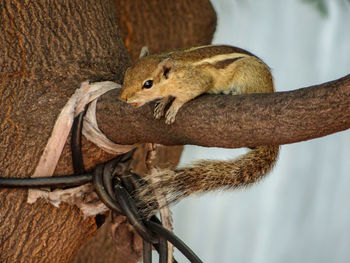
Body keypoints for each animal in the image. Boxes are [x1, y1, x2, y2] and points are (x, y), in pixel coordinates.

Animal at [119, 44, 278, 217]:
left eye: (148, 84)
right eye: (128, 71)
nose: (122, 98)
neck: (174, 74)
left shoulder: (198, 81)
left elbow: (186, 96)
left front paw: (174, 106)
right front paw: (163, 102)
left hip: (249, 76)